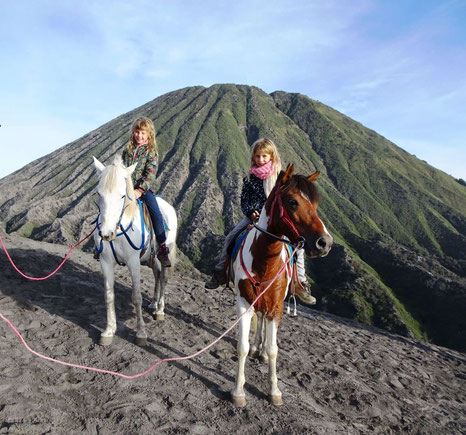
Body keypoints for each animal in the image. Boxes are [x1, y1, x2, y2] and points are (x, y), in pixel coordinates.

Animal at [92, 155, 177, 346]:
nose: (106, 233)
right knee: (157, 275)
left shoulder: (133, 262)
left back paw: (160, 310)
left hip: (165, 253)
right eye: (99, 193)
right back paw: (153, 304)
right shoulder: (105, 262)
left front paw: (141, 333)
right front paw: (109, 331)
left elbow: (136, 297)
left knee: (164, 278)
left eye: (123, 195)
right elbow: (109, 296)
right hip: (152, 258)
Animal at [231, 164, 334, 408]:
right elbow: (242, 347)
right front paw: (238, 391)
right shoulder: (244, 303)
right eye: (292, 201)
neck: (264, 263)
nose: (325, 242)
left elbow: (273, 349)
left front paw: (274, 390)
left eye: (316, 204)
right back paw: (256, 348)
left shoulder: (277, 306)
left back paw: (260, 351)